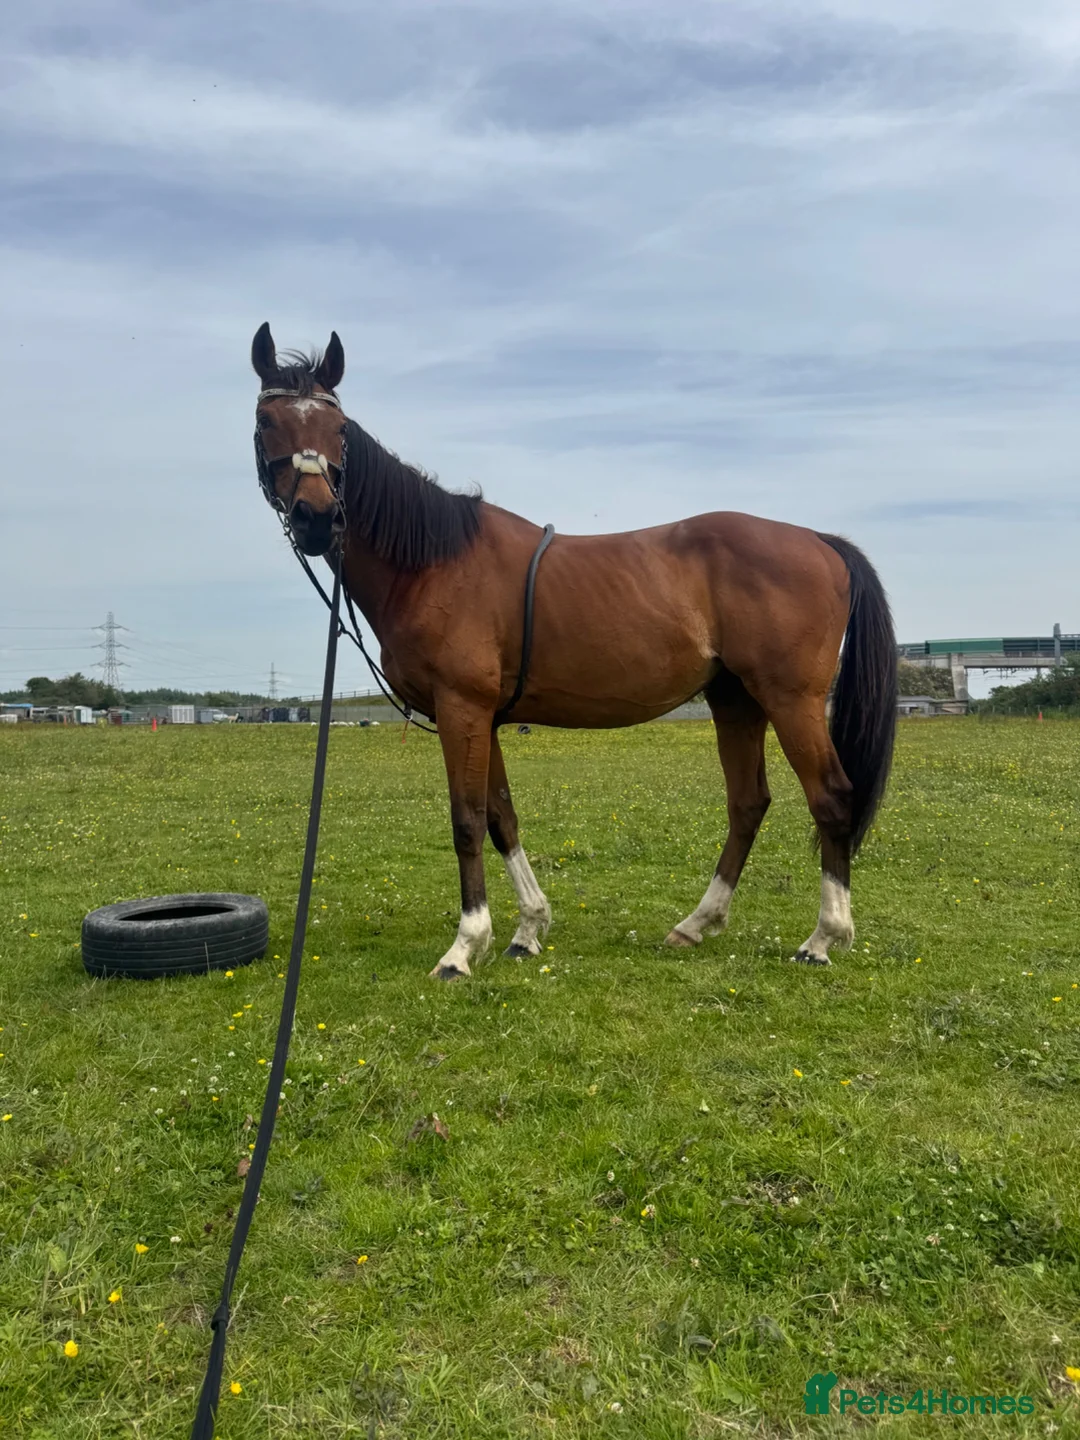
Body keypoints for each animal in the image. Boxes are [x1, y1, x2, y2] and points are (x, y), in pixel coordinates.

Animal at [251, 324, 897, 981]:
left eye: (337, 427)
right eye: (266, 420)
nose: (316, 516)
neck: (433, 564)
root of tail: (820, 541)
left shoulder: (461, 708)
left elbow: (466, 821)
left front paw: (464, 946)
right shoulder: (485, 717)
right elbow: (501, 817)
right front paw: (527, 929)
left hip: (790, 700)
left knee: (831, 799)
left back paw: (823, 938)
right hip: (736, 700)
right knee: (748, 804)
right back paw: (697, 924)